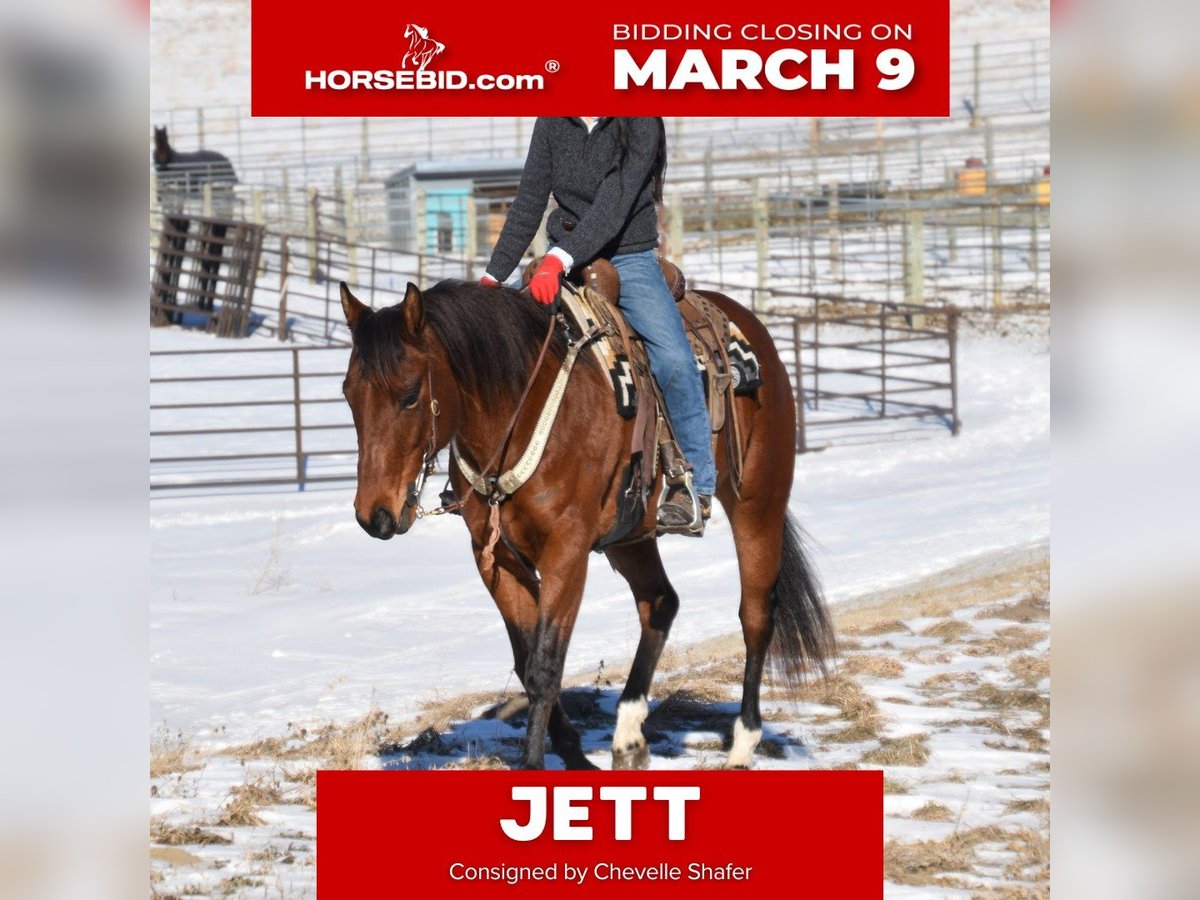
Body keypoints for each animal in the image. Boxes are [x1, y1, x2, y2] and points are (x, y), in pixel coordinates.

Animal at [338, 279, 834, 770]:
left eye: (409, 395)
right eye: (347, 393)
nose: (374, 515)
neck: (520, 410)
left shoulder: (566, 553)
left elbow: (544, 665)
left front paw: (535, 765)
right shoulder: (494, 559)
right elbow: (526, 661)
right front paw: (574, 754)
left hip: (758, 503)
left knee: (756, 616)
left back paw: (742, 746)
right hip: (631, 536)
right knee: (660, 602)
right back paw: (629, 737)